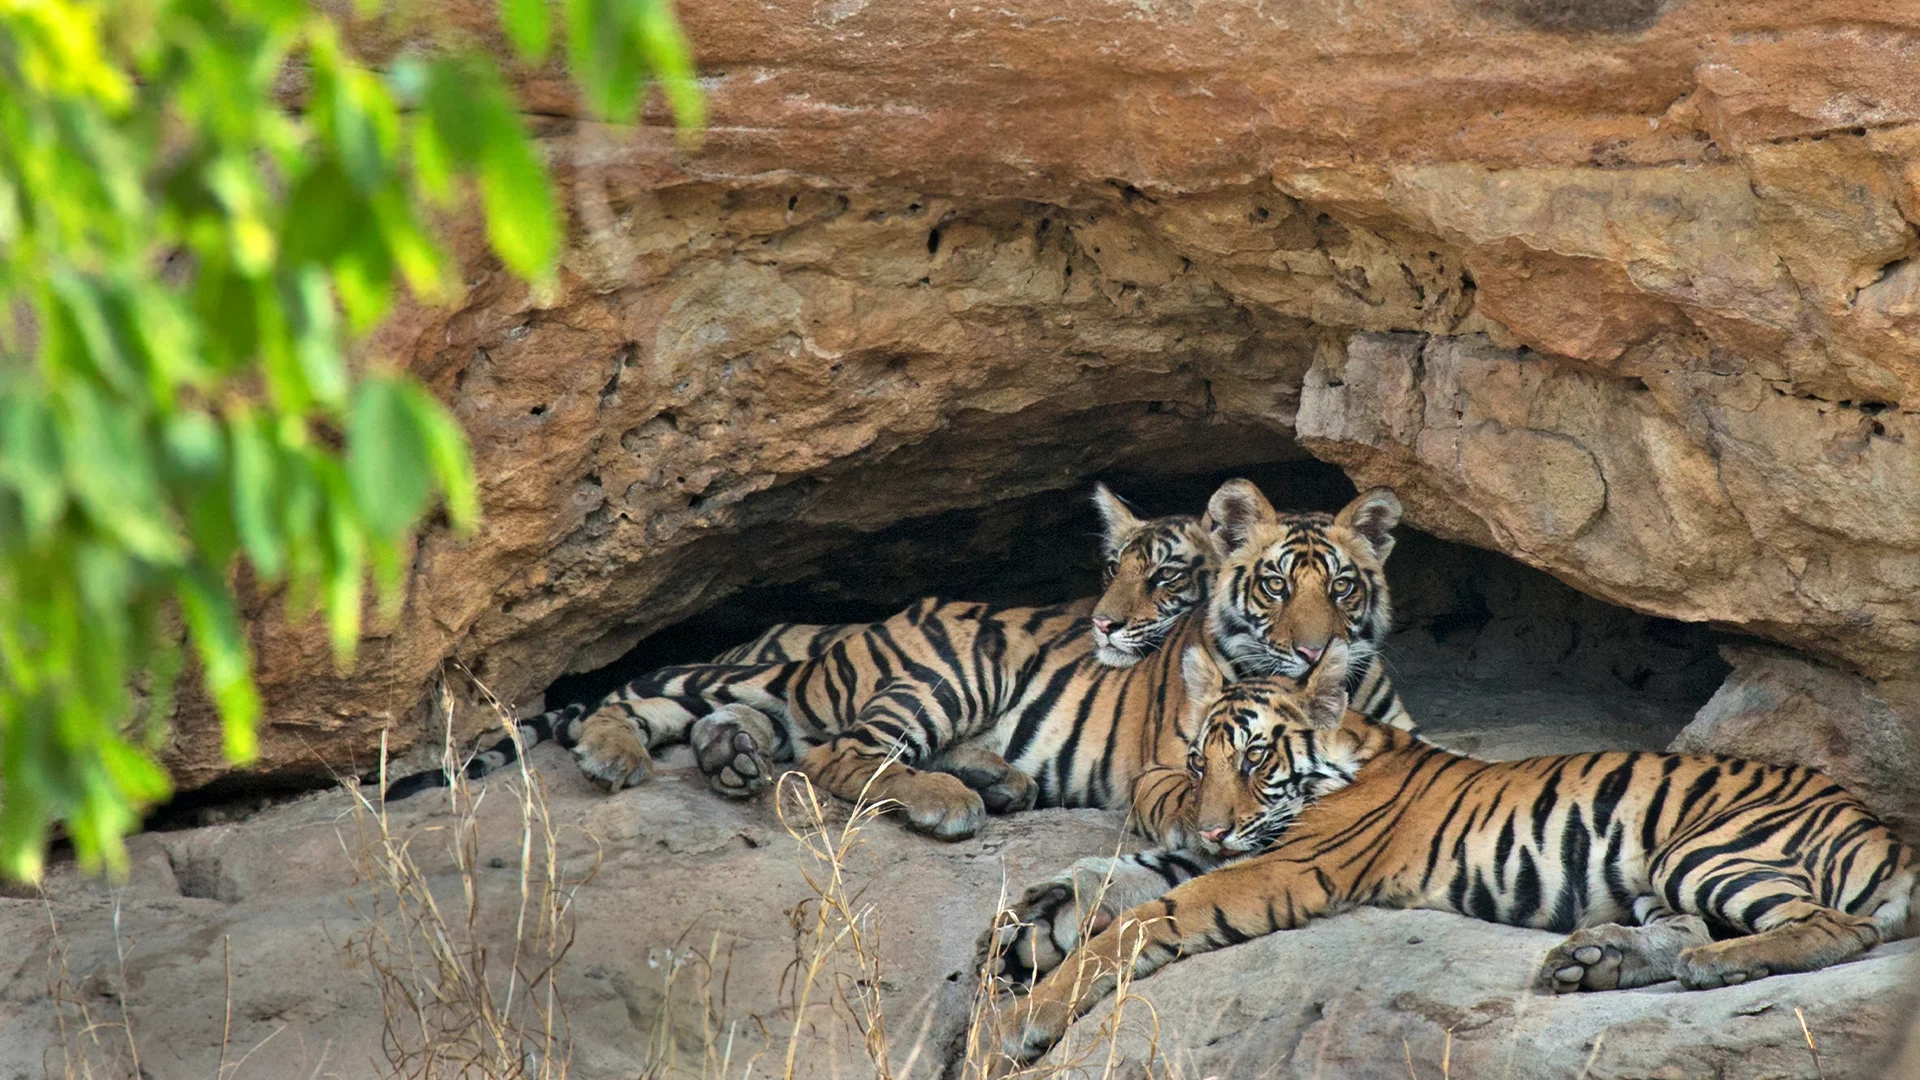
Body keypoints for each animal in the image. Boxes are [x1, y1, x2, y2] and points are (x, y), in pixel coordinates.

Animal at [990, 638, 1920, 1068]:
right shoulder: (1238, 850)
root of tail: (1882, 827)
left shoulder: (1278, 867)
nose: (1213, 826)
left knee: (1837, 928)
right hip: (1662, 875)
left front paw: (1024, 1018)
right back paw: (1592, 962)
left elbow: (1147, 916)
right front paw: (1030, 927)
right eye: (1197, 764)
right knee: (1686, 930)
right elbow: (1123, 882)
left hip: (1709, 848)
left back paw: (1719, 968)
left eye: (1254, 759)